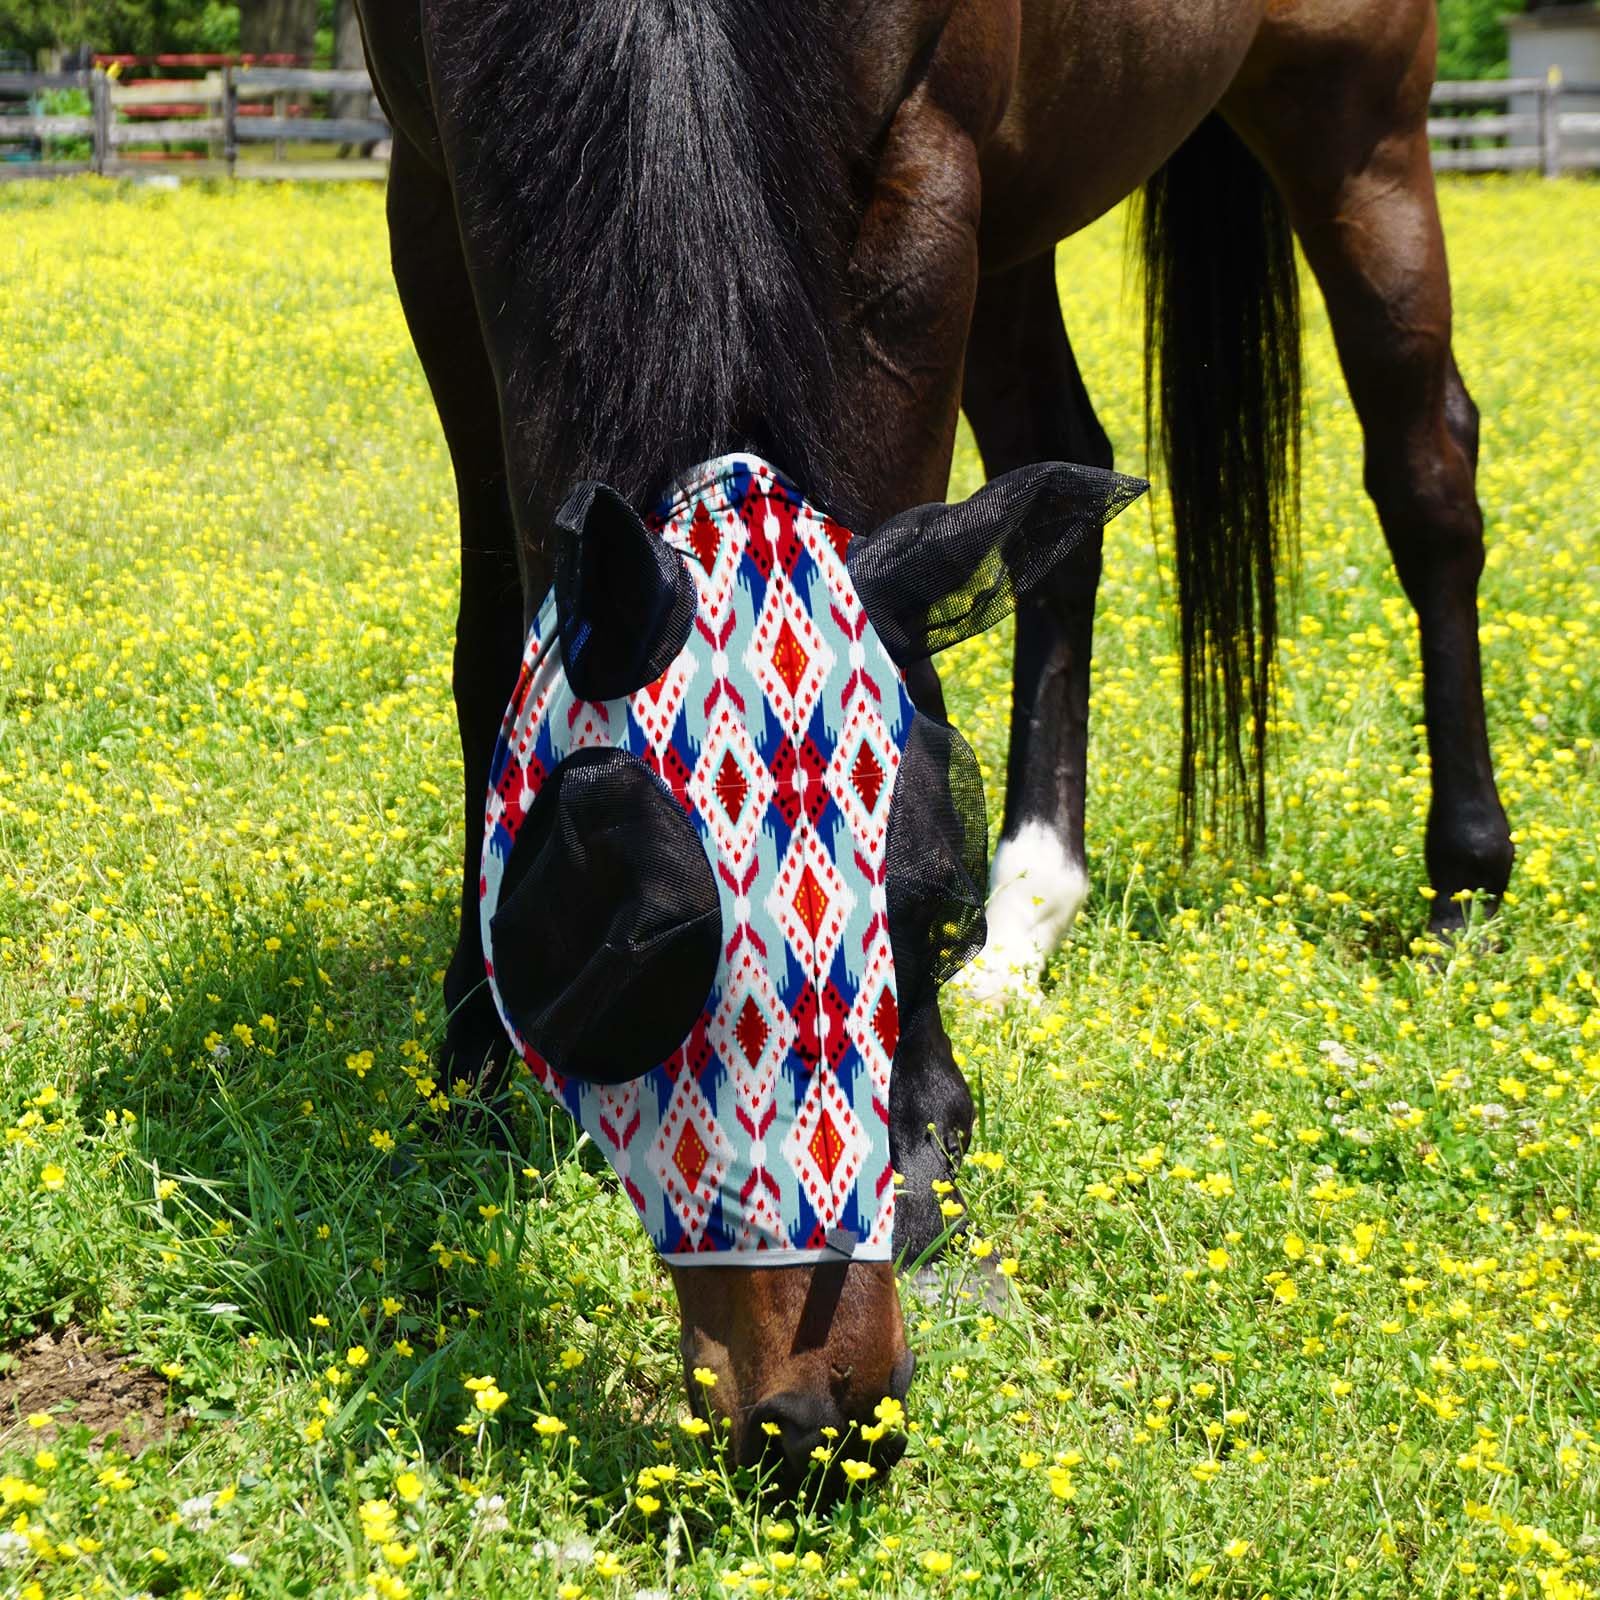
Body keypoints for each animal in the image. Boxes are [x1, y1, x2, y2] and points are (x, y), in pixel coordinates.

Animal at [350, 0, 1513, 1489]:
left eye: (916, 900)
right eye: (639, 943)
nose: (830, 1415)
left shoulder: (920, 199)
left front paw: (928, 1122)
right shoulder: (429, 202)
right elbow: (491, 629)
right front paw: (470, 1052)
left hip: (1353, 114)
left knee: (1426, 467)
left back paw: (1462, 880)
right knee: (1059, 481)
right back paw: (1036, 916)